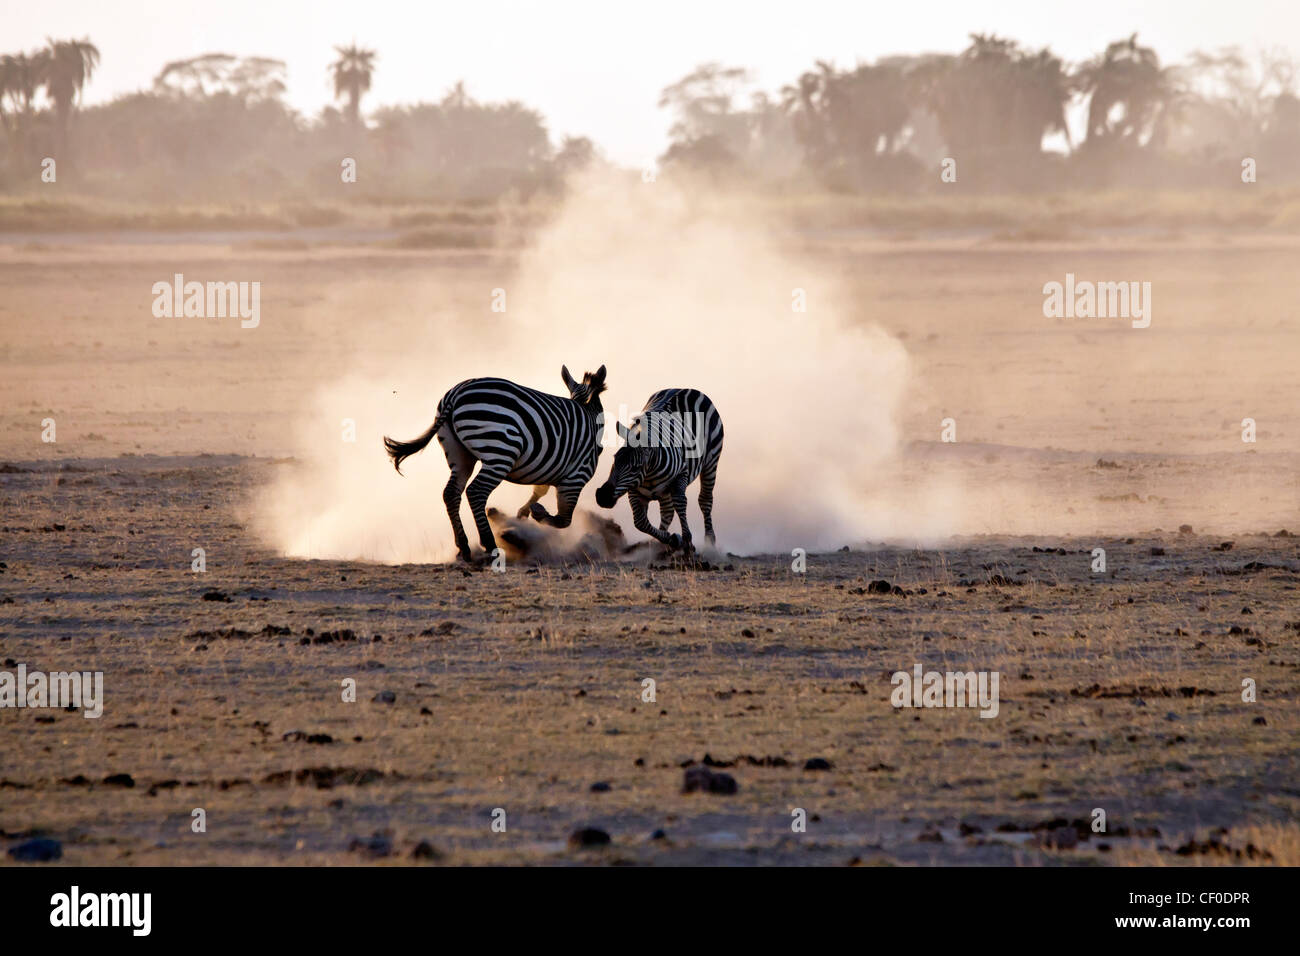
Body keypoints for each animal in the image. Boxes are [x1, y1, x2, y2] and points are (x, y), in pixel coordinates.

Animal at [379, 364, 608, 561]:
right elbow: (563, 520)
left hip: (459, 454)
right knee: (476, 492)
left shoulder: (549, 469)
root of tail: (455, 393)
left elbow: (540, 492)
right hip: (500, 450)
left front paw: (523, 515)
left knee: (451, 493)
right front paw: (536, 514)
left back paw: (464, 547)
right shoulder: (575, 477)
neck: (588, 415)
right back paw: (490, 545)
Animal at [595, 390, 728, 554]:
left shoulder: (680, 475)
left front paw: (687, 542)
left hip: (711, 462)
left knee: (705, 500)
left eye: (635, 467)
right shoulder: (634, 490)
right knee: (667, 512)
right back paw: (661, 546)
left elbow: (681, 503)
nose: (603, 496)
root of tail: (684, 388)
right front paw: (672, 539)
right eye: (615, 460)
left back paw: (709, 542)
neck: (649, 475)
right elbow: (640, 521)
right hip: (665, 491)